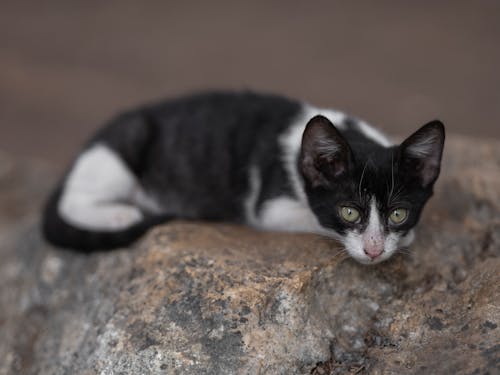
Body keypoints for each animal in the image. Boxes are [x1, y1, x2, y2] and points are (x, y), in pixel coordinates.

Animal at [41, 91, 444, 266]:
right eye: (348, 211)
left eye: (398, 213)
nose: (374, 250)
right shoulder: (270, 206)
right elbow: (310, 218)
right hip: (123, 144)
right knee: (74, 200)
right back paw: (120, 213)